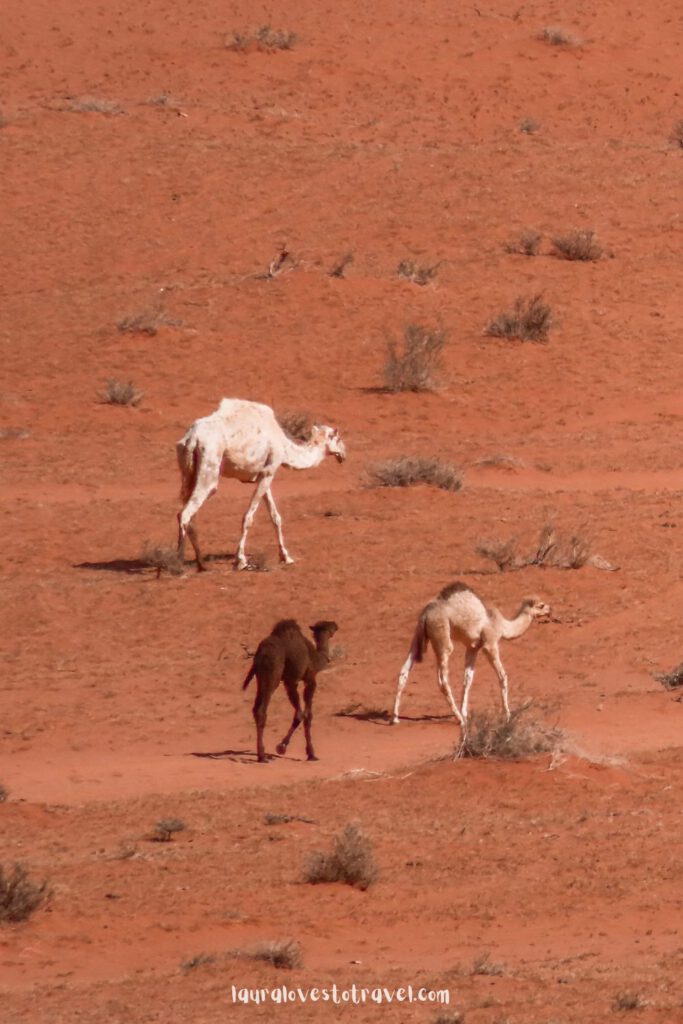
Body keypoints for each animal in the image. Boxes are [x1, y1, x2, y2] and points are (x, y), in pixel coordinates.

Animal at [176, 397, 348, 573]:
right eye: (338, 438)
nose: (343, 454)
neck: (283, 446)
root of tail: (192, 438)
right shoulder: (270, 470)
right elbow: (248, 518)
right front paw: (241, 561)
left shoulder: (263, 475)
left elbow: (275, 517)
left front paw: (286, 557)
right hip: (210, 463)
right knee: (186, 513)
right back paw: (179, 564)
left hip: (188, 471)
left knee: (190, 514)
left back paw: (201, 563)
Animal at [241, 614, 339, 761]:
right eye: (327, 625)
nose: (336, 624)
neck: (316, 658)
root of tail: (261, 654)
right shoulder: (306, 679)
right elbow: (305, 715)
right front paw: (306, 753)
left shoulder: (290, 681)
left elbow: (301, 713)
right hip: (273, 675)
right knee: (262, 710)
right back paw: (262, 756)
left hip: (260, 677)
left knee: (255, 708)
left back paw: (261, 754)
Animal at [393, 581, 548, 733]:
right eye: (541, 605)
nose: (549, 610)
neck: (502, 625)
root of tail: (426, 614)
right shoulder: (490, 643)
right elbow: (503, 676)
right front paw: (508, 716)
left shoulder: (472, 647)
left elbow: (467, 679)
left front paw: (465, 713)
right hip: (442, 635)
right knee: (443, 680)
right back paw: (458, 719)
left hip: (418, 635)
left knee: (404, 671)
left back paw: (395, 718)